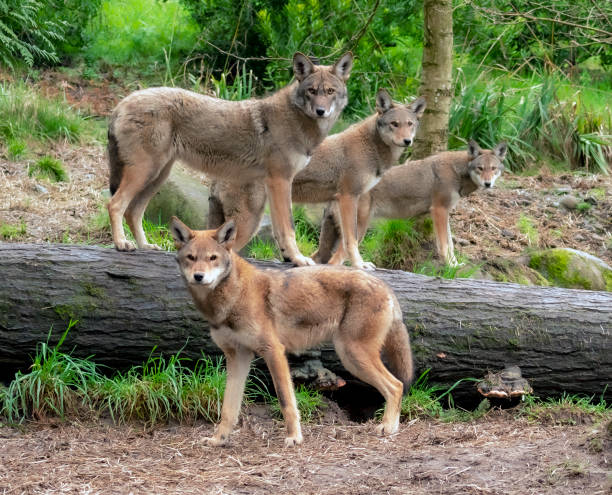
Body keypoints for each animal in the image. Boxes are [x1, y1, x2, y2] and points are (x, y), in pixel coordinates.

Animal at [107, 51, 352, 266]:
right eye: (312, 90)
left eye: (330, 91)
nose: (321, 111)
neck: (297, 121)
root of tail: (122, 102)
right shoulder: (280, 181)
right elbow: (288, 228)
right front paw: (299, 259)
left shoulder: (276, 185)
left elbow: (280, 229)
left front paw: (290, 258)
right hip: (146, 172)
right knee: (115, 204)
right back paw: (121, 243)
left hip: (158, 176)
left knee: (133, 211)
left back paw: (144, 246)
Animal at [170, 217, 414, 450]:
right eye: (191, 257)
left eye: (212, 258)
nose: (199, 276)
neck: (233, 297)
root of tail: (384, 285)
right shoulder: (238, 357)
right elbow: (228, 408)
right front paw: (218, 440)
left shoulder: (274, 351)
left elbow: (286, 400)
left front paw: (294, 438)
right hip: (352, 358)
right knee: (396, 386)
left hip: (353, 356)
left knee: (396, 386)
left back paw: (387, 427)